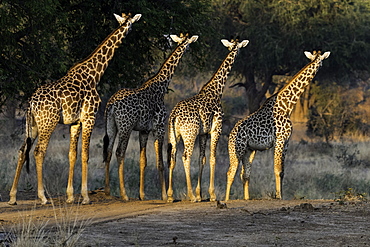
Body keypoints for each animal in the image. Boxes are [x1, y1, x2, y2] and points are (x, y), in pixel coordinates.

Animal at [9, 12, 142, 206]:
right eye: (131, 24)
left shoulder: (75, 122)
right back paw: (43, 197)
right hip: (48, 123)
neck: (95, 74)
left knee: (22, 151)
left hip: (33, 125)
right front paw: (85, 197)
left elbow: (72, 154)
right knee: (38, 152)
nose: (130, 30)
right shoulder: (89, 117)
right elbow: (86, 154)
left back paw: (12, 197)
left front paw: (71, 196)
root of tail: (31, 104)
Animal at [102, 33, 198, 202]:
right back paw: (124, 194)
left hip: (111, 126)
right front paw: (165, 196)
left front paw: (142, 194)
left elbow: (143, 160)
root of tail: (111, 105)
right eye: (187, 44)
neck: (161, 88)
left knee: (108, 151)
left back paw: (108, 191)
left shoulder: (144, 131)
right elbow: (160, 162)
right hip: (125, 127)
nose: (188, 49)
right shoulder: (158, 128)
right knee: (119, 152)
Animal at [167, 38, 249, 201]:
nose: (238, 53)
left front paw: (200, 194)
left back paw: (170, 195)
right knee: (185, 157)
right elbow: (212, 158)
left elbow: (202, 159)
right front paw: (211, 194)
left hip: (174, 135)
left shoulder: (203, 133)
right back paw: (190, 195)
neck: (217, 91)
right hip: (189, 134)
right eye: (239, 48)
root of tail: (174, 116)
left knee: (172, 158)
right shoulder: (216, 129)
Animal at [224, 49, 330, 201]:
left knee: (245, 174)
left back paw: (247, 198)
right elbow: (277, 169)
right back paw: (226, 200)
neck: (286, 106)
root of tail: (231, 135)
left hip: (249, 150)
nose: (318, 66)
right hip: (237, 149)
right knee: (231, 172)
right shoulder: (279, 139)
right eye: (318, 59)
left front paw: (282, 195)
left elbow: (283, 171)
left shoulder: (286, 141)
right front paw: (278, 196)